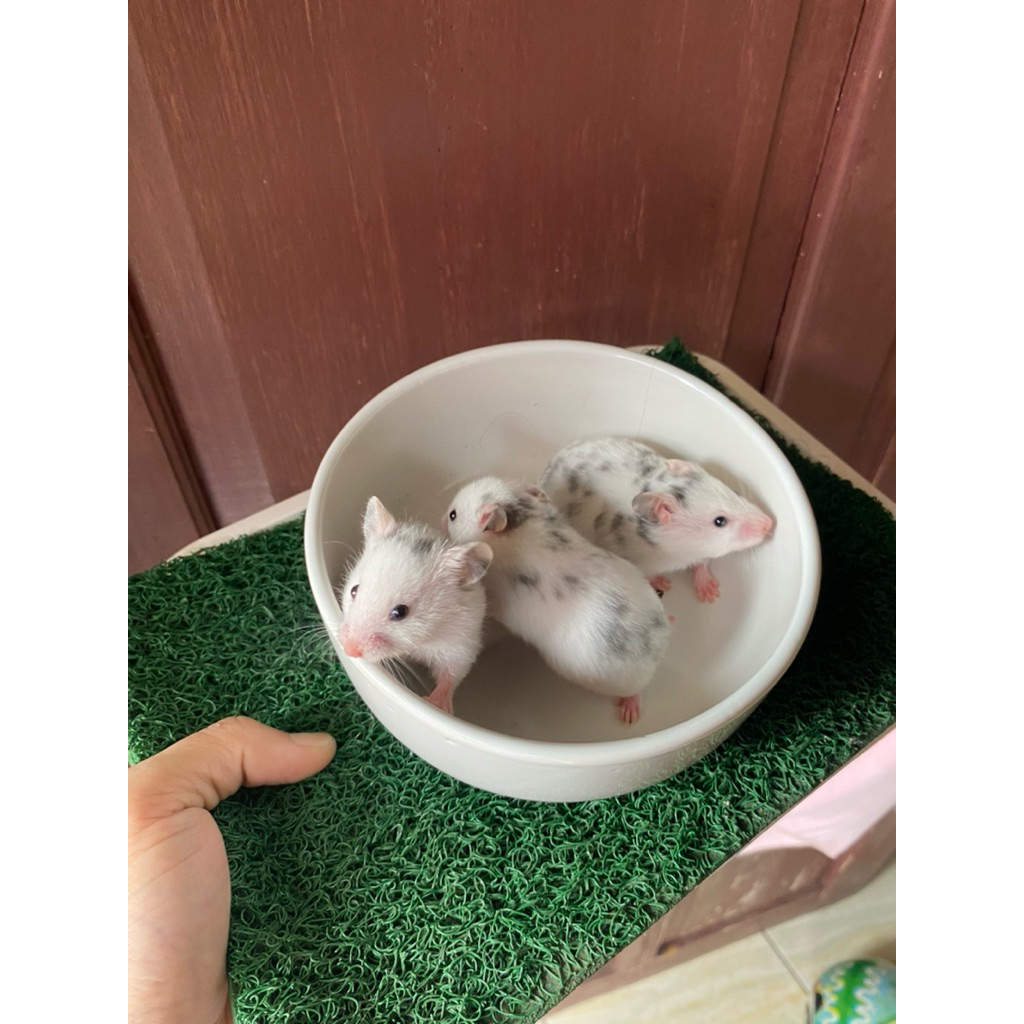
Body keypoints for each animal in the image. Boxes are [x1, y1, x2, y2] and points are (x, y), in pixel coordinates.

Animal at [338, 496, 493, 715]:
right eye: (354, 590)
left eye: (400, 612)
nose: (349, 650)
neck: (421, 641)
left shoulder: (461, 646)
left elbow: (450, 676)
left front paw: (433, 704)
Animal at [445, 477, 670, 724]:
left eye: (453, 515)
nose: (444, 515)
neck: (522, 520)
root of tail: (659, 643)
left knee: (634, 692)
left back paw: (629, 714)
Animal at [539, 437, 774, 603]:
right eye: (719, 521)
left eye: (736, 492)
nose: (770, 524)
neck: (682, 551)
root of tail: (548, 466)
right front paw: (664, 582)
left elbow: (702, 563)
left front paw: (709, 594)